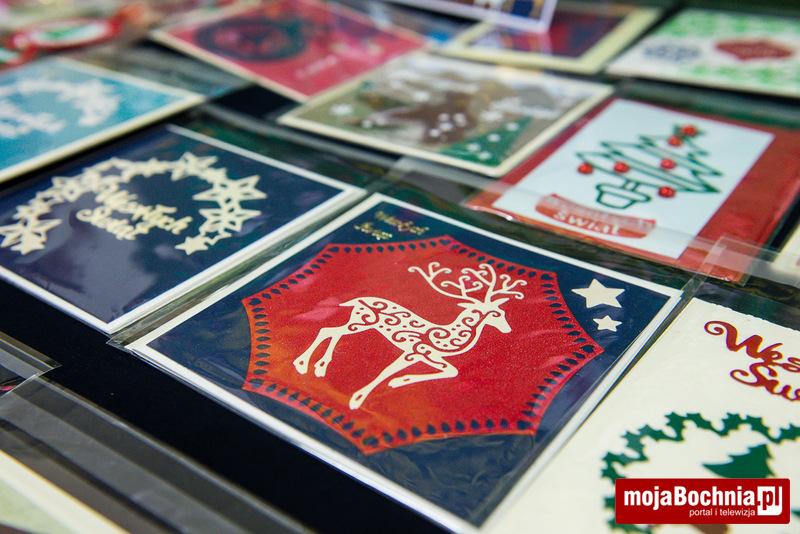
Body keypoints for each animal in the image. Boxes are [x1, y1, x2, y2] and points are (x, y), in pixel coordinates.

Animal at [293, 261, 526, 409]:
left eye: (502, 312)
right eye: (496, 314)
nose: (508, 329)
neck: (448, 338)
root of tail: (359, 299)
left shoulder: (426, 356)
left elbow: (451, 370)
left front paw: (400, 380)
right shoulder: (415, 351)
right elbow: (386, 370)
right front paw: (358, 399)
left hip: (359, 322)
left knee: (331, 331)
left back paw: (317, 367)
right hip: (363, 321)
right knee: (328, 330)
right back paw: (304, 364)